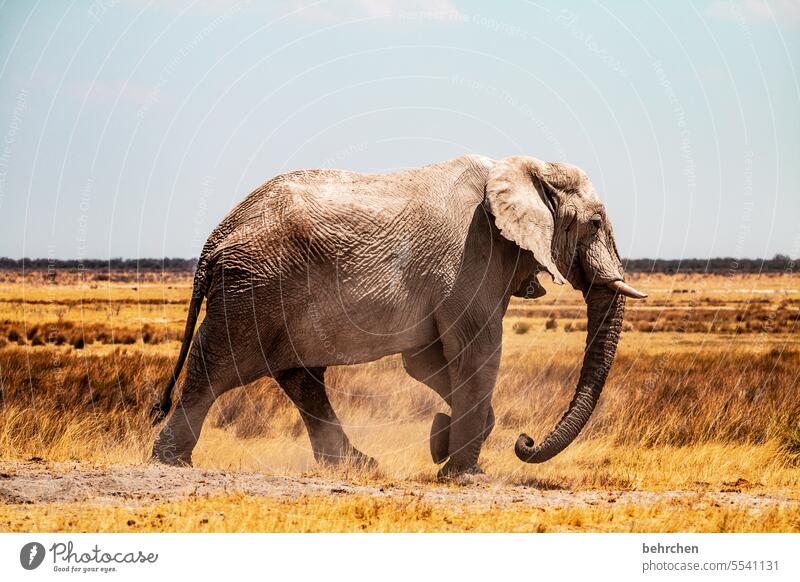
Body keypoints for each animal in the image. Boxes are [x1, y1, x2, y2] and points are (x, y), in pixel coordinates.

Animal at [153, 155, 648, 480]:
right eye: (595, 224)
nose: (524, 441)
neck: (522, 167)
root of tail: (216, 237)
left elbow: (424, 362)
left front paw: (442, 443)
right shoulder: (473, 256)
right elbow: (478, 352)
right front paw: (462, 472)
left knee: (301, 378)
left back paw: (359, 466)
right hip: (251, 289)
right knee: (215, 368)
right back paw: (170, 462)